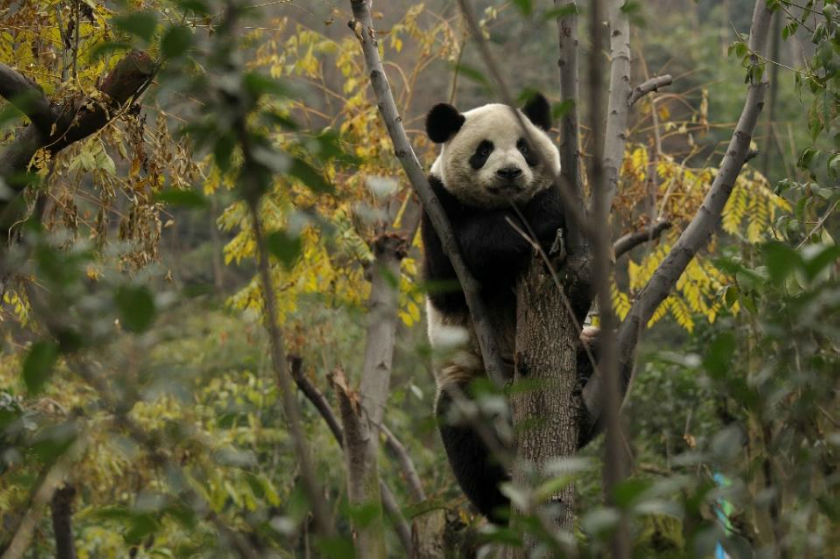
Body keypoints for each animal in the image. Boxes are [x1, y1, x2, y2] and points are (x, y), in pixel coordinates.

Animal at [421, 93, 596, 523]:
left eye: (524, 148)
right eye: (483, 151)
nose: (510, 173)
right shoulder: (436, 206)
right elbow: (457, 270)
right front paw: (538, 217)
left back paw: (584, 390)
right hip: (469, 376)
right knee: (463, 426)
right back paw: (497, 503)